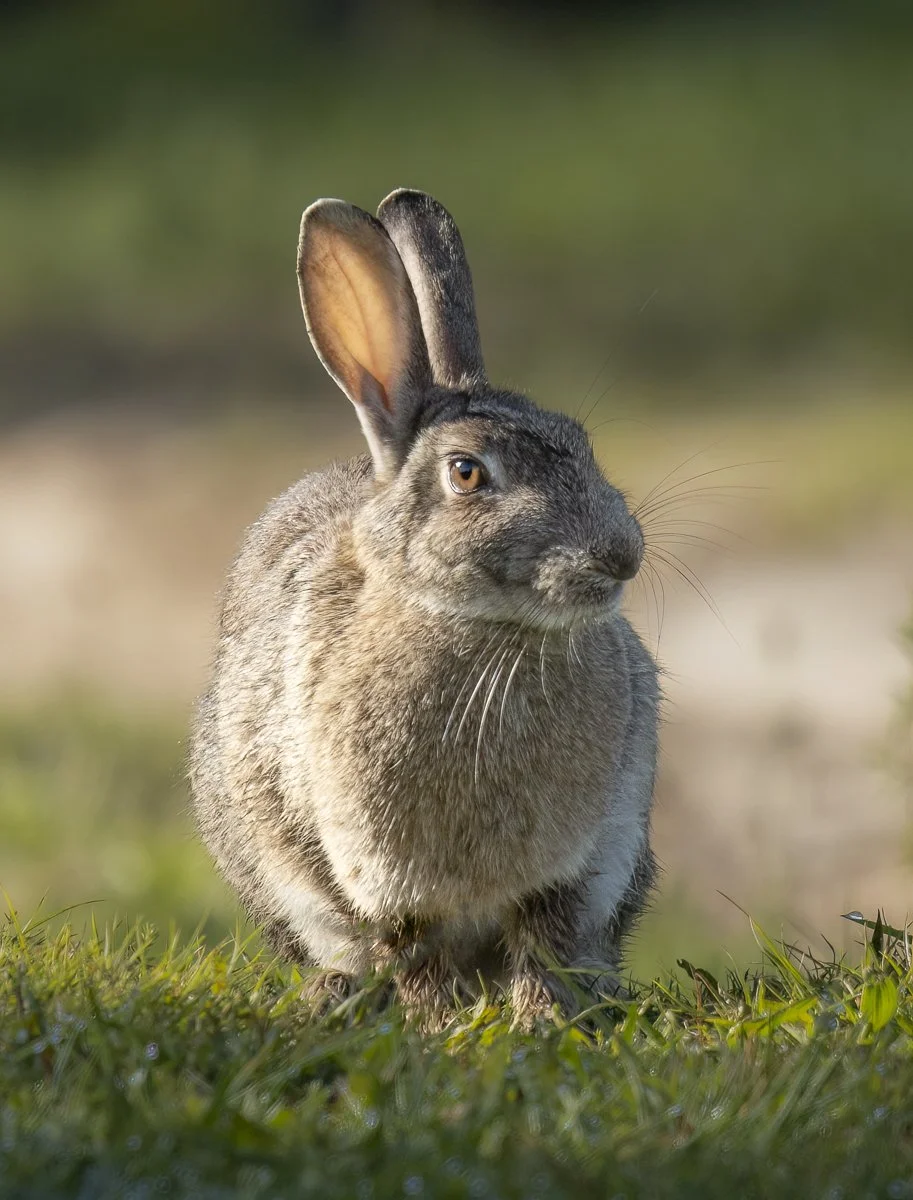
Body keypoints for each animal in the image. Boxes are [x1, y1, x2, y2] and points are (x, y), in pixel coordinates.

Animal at [190, 189, 660, 1026]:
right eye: (466, 473)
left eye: (579, 442)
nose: (620, 555)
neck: (486, 633)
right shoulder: (380, 884)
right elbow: (412, 953)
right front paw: (442, 1024)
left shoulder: (577, 866)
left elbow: (546, 941)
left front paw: (539, 1021)